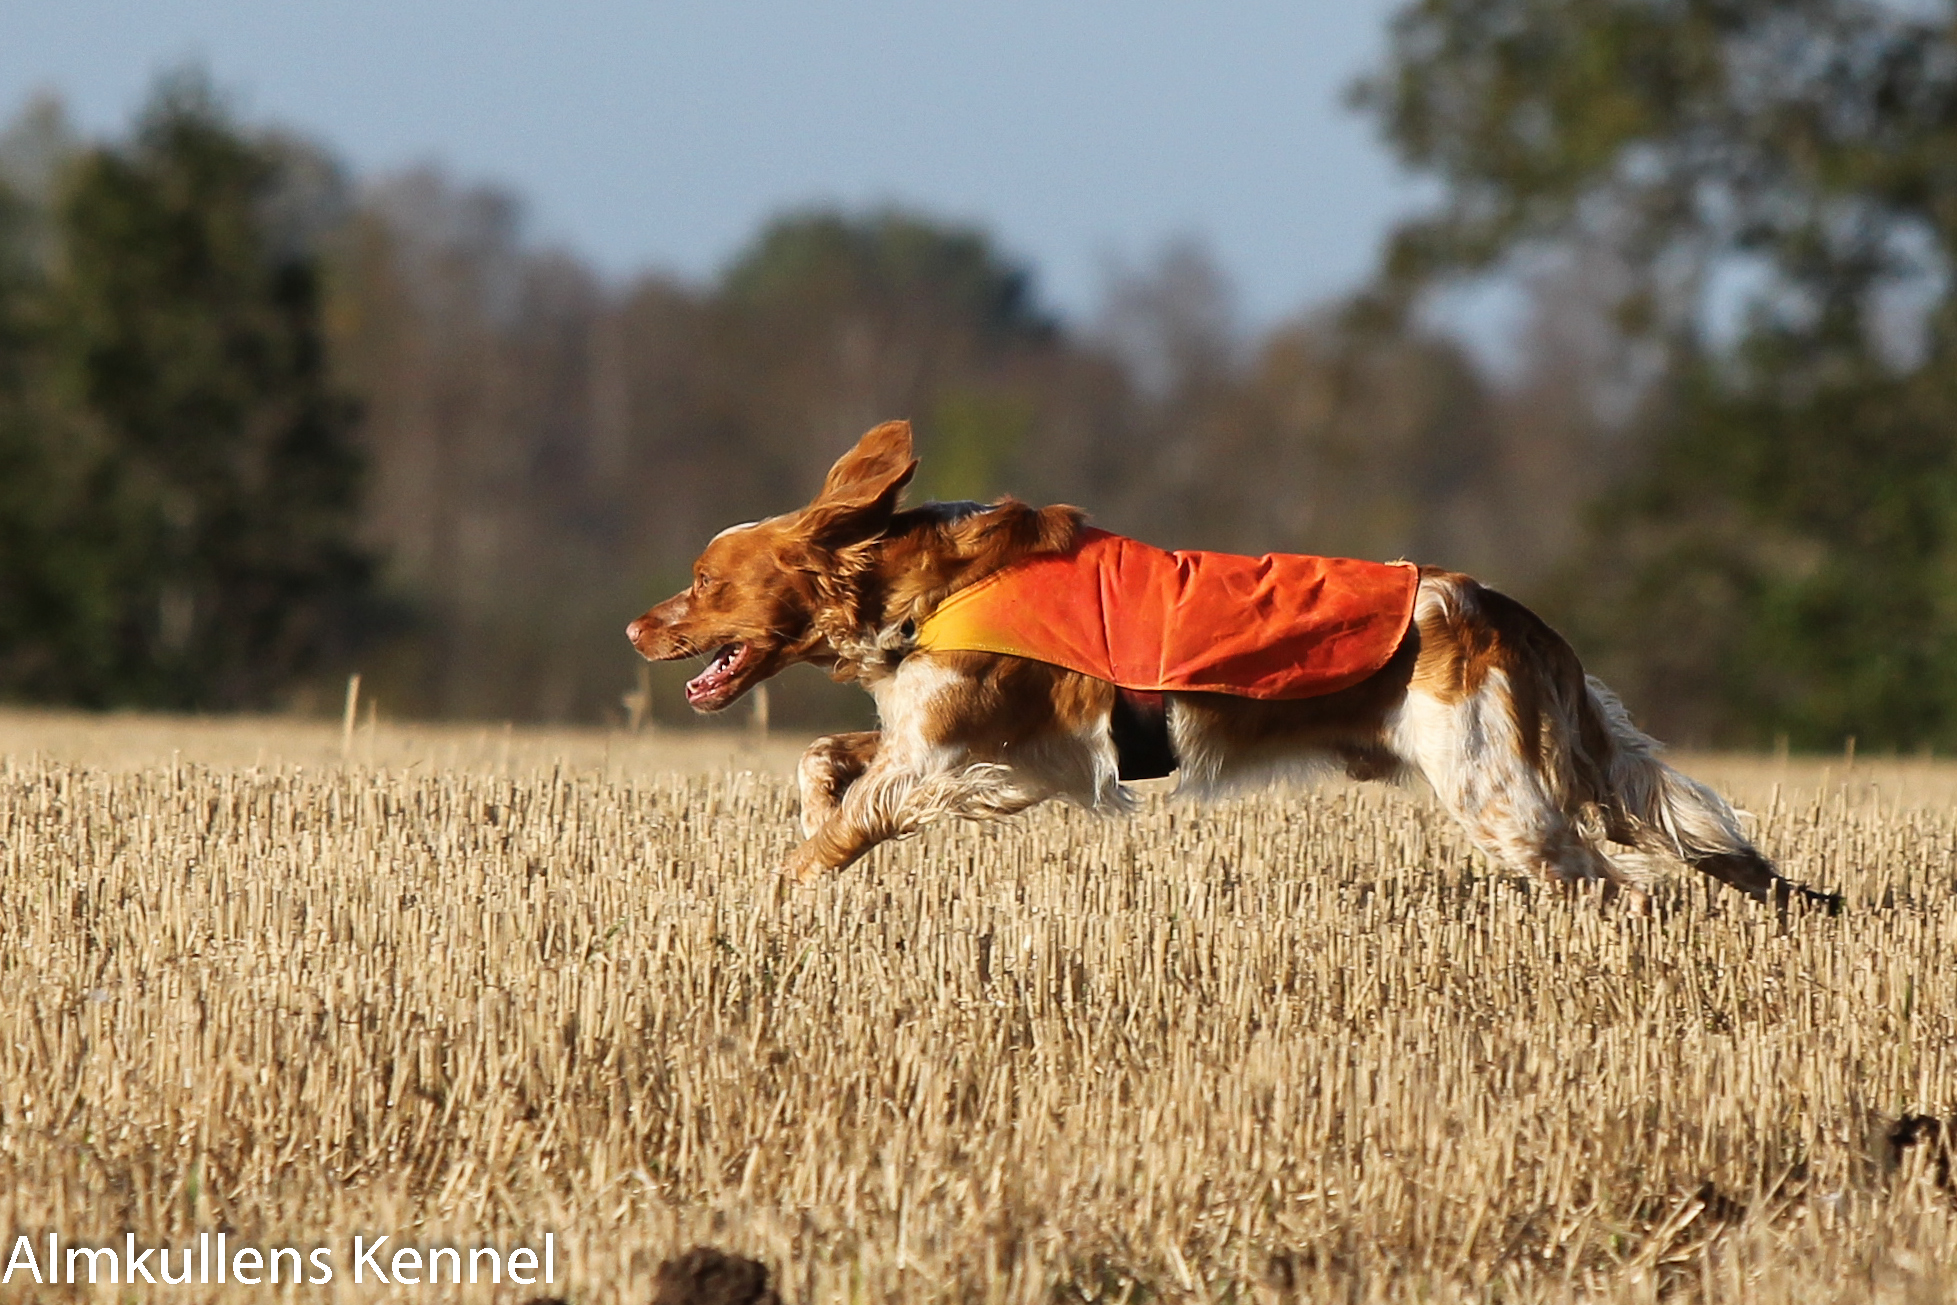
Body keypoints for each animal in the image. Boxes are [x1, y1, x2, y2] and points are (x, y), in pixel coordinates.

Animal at [627, 420, 1837, 909]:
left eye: (701, 575)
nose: (636, 629)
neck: (916, 584)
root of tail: (1508, 612)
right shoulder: (972, 752)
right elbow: (823, 766)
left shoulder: (949, 758)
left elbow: (835, 826)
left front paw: (776, 897)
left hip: (1498, 797)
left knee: (1618, 882)